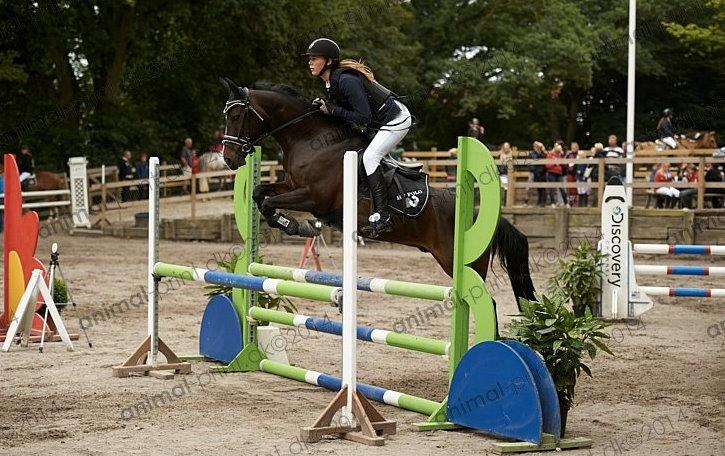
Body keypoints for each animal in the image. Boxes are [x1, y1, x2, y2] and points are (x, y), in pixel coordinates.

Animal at [218, 79, 536, 328]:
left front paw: (297, 226)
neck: (311, 140)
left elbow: (270, 202)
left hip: (462, 262)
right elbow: (260, 193)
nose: (229, 159)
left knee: (486, 303)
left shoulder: (314, 197)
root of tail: (476, 213)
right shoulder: (294, 186)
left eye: (236, 115)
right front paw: (295, 225)